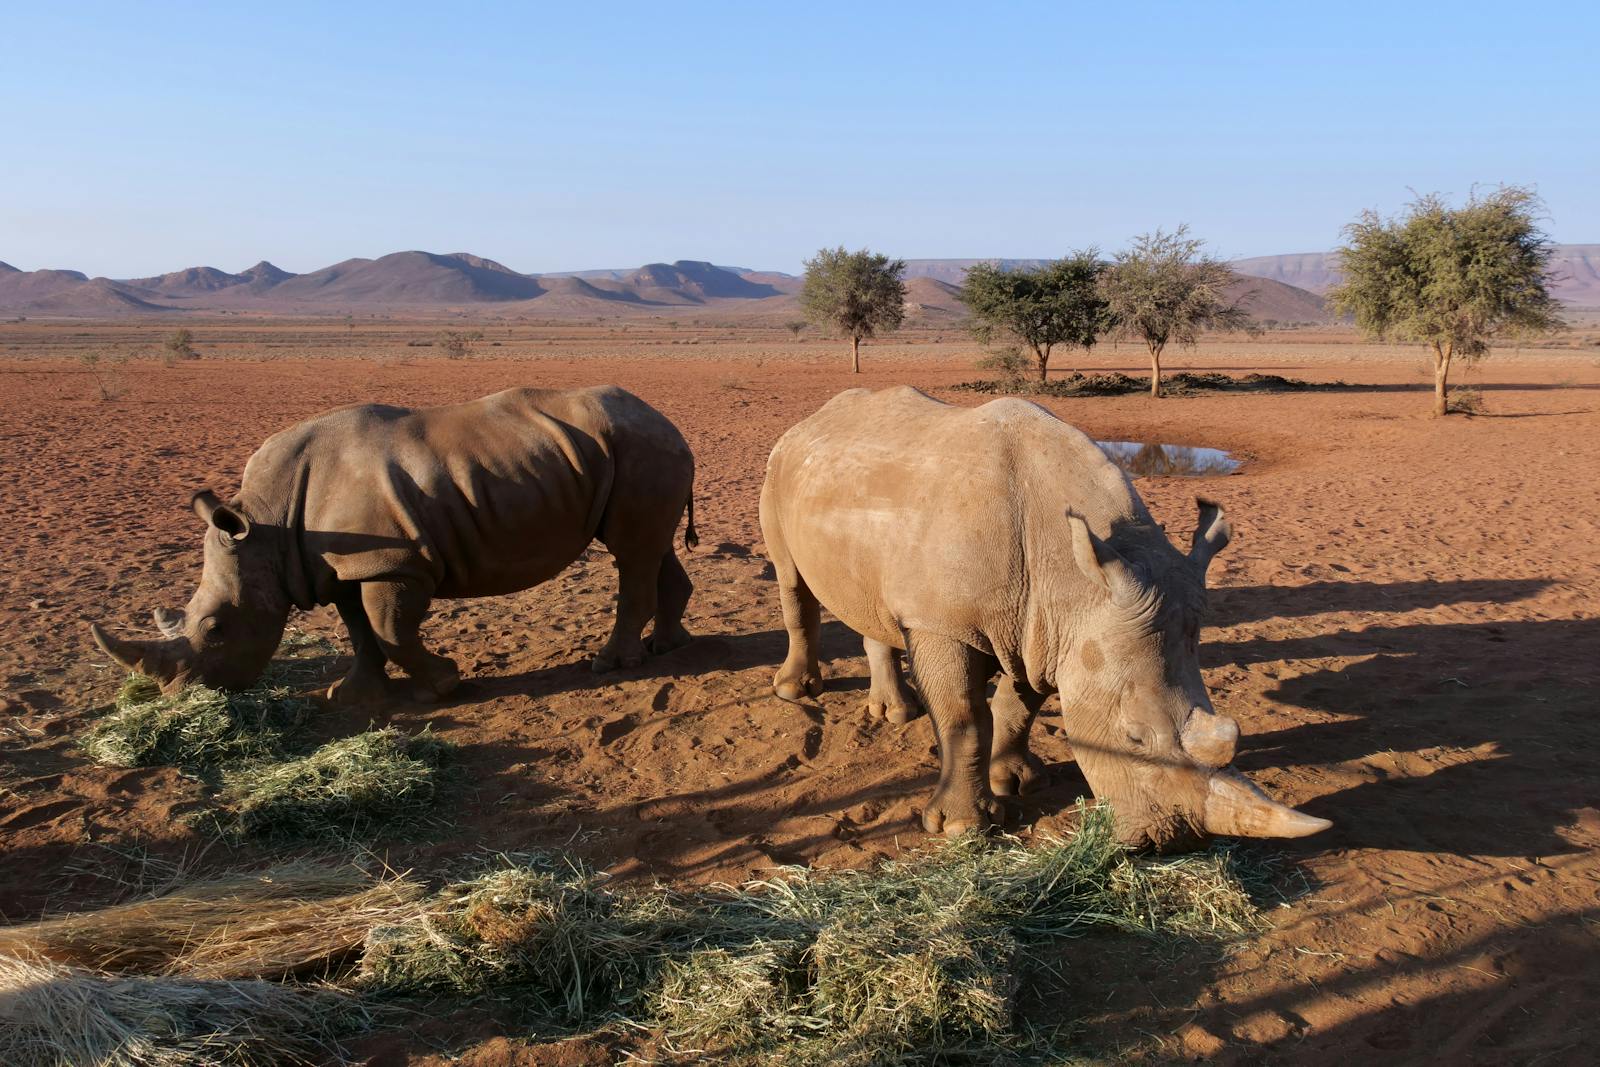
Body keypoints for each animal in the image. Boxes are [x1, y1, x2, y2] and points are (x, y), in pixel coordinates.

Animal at [92, 385, 698, 702]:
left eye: (216, 628)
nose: (186, 698)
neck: (265, 523)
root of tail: (667, 420)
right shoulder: (342, 564)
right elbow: (361, 632)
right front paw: (350, 695)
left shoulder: (391, 561)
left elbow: (389, 629)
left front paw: (444, 684)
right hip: (635, 451)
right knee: (650, 548)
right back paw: (666, 647)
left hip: (642, 449)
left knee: (632, 552)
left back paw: (611, 666)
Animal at [758, 386, 1330, 848]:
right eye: (1134, 738)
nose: (1171, 841)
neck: (1074, 578)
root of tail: (813, 418)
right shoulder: (944, 624)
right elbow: (964, 717)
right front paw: (963, 827)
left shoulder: (1043, 626)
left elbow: (1019, 707)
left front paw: (1020, 782)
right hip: (778, 465)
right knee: (792, 582)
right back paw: (795, 692)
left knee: (871, 600)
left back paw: (896, 714)